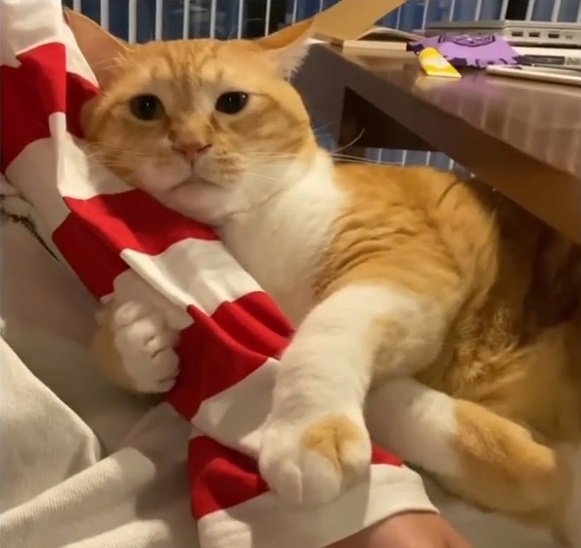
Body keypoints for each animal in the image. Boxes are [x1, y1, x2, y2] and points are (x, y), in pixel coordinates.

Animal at [66, 9, 581, 544]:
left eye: (232, 102)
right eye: (146, 107)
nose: (190, 145)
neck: (246, 237)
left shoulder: (400, 258)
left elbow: (327, 331)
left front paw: (308, 434)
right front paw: (133, 335)